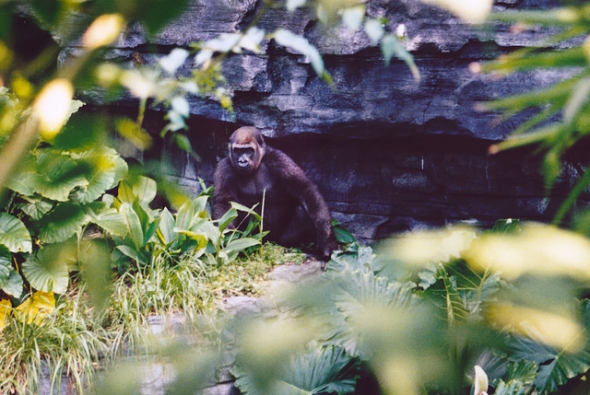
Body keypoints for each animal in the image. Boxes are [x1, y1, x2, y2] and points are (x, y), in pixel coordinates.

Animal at [213, 127, 338, 262]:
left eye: (249, 150)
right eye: (237, 151)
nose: (242, 161)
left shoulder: (278, 159)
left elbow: (304, 189)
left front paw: (326, 238)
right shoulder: (224, 168)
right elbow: (224, 203)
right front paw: (227, 241)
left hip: (278, 240)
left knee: (302, 210)